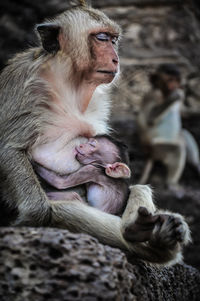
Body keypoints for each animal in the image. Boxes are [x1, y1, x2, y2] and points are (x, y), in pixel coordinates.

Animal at [0, 1, 191, 264]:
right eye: (101, 38)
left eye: (113, 39)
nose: (115, 59)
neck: (69, 80)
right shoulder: (26, 85)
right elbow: (9, 149)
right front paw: (33, 217)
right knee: (64, 208)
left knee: (138, 188)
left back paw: (155, 234)